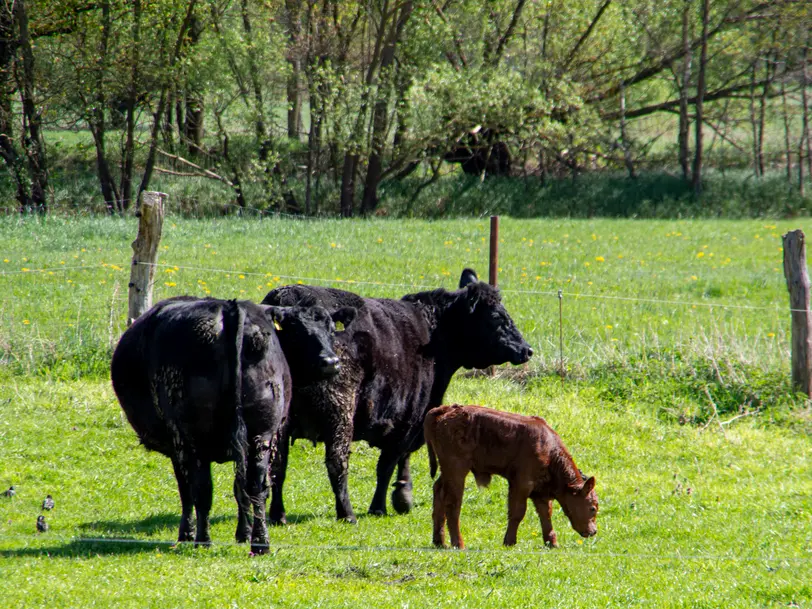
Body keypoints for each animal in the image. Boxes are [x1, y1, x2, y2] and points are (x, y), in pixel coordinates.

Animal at [110, 294, 356, 552]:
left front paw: (186, 534)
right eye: (299, 330)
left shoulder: (178, 445)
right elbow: (242, 490)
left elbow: (187, 491)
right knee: (256, 486)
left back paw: (203, 540)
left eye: (331, 329)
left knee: (203, 490)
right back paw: (260, 542)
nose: (331, 362)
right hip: (261, 434)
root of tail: (229, 308)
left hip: (195, 436)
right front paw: (243, 534)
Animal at [262, 268, 532, 524]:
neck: (433, 335)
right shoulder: (409, 416)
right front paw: (385, 503)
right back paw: (347, 513)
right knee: (336, 462)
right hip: (340, 410)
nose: (527, 349)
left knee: (278, 465)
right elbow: (388, 464)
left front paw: (402, 494)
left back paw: (278, 514)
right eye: (497, 317)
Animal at [426, 404, 596, 548]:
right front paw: (509, 542)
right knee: (453, 505)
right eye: (593, 508)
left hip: (447, 472)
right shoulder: (521, 483)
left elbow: (545, 514)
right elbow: (517, 512)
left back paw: (439, 541)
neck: (549, 450)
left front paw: (552, 543)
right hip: (456, 470)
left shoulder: (540, 491)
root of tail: (446, 409)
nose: (593, 531)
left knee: (438, 493)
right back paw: (459, 544)